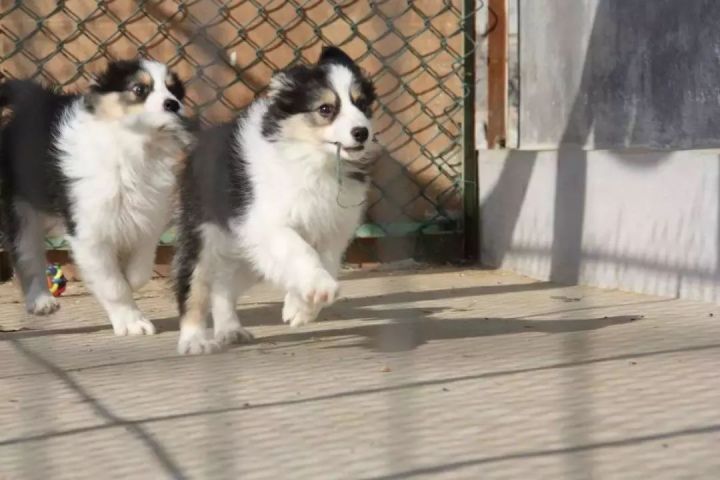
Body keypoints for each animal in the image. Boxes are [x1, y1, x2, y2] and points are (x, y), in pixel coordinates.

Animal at [0, 59, 193, 334]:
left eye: (174, 91)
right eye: (139, 89)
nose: (173, 105)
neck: (133, 147)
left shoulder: (146, 219)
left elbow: (139, 270)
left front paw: (129, 280)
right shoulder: (89, 231)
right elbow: (113, 284)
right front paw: (132, 321)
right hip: (20, 209)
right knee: (27, 254)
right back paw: (41, 301)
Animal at [174, 47, 376, 354]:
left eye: (362, 104)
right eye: (325, 109)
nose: (362, 132)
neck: (316, 161)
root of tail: (202, 139)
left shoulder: (333, 231)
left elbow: (326, 261)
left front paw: (301, 308)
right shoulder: (269, 223)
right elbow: (300, 250)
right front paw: (320, 288)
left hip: (248, 253)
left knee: (223, 286)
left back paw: (230, 329)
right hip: (205, 235)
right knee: (195, 284)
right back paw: (194, 339)